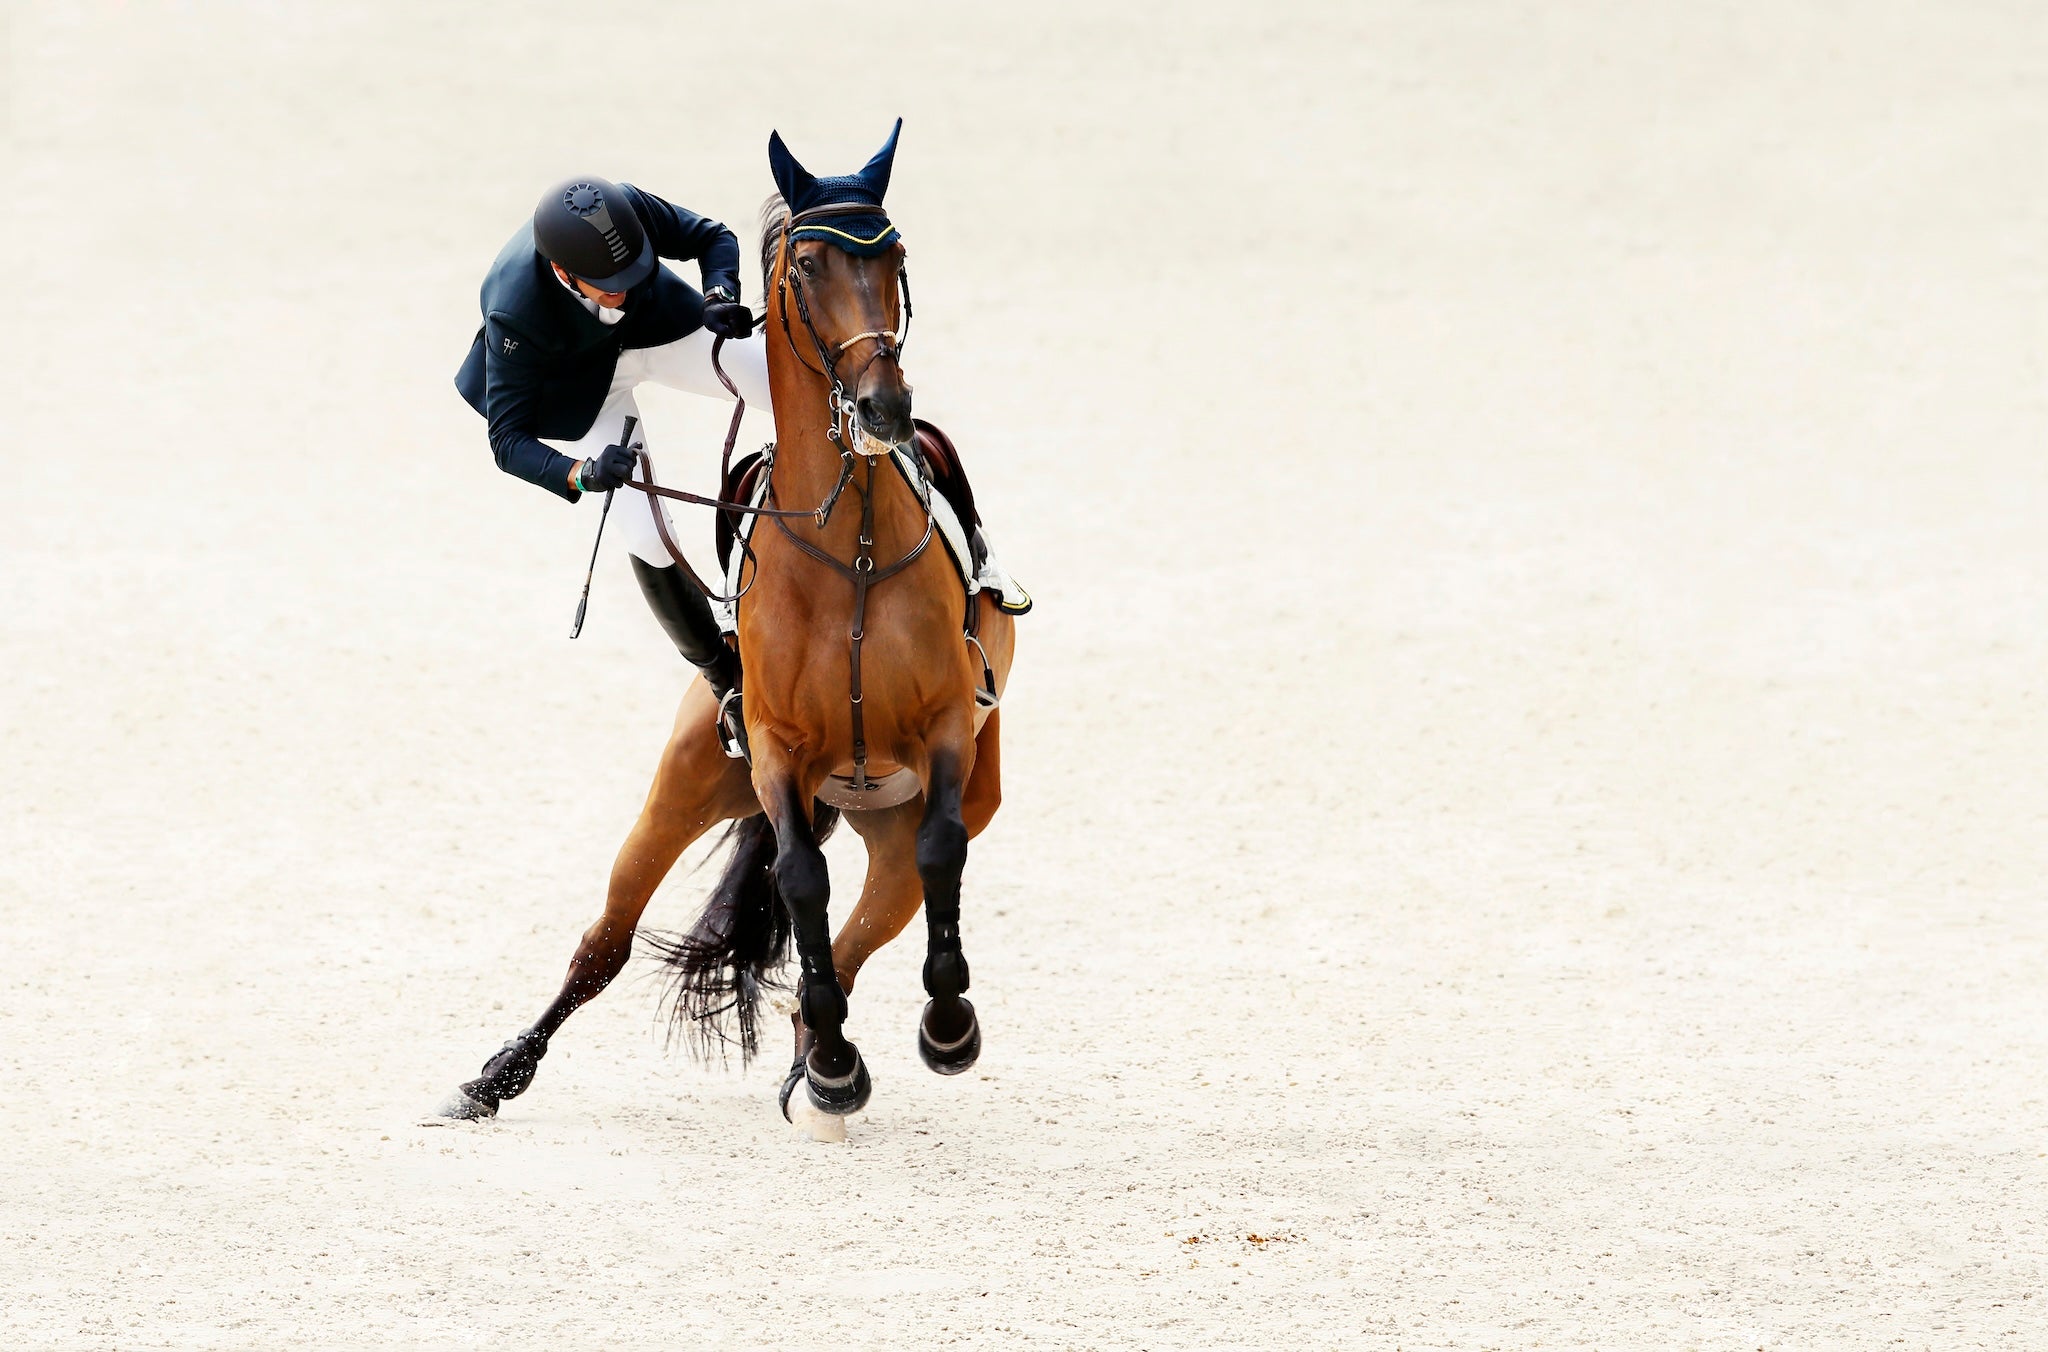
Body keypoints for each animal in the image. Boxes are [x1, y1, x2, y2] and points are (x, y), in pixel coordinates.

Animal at [439, 119, 1017, 1128]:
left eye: (895, 256)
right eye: (809, 266)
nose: (884, 410)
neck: (850, 550)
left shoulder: (947, 728)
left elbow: (937, 855)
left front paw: (945, 1030)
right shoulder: (782, 752)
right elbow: (799, 880)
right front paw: (848, 1061)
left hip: (892, 824)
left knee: (863, 931)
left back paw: (818, 1065)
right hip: (685, 787)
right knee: (608, 938)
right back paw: (497, 1075)